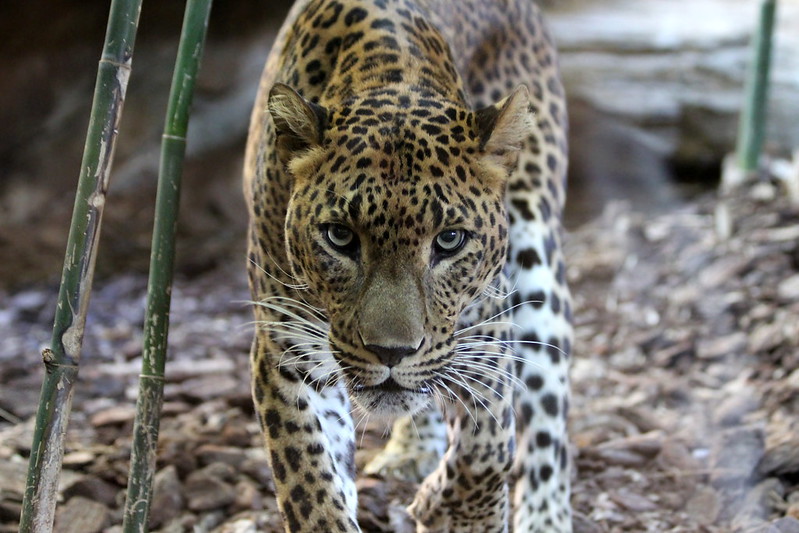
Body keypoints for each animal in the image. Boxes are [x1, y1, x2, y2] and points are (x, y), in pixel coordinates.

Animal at [241, 1, 572, 528]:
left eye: (450, 240)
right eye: (340, 236)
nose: (391, 353)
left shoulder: (486, 328)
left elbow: (489, 443)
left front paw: (458, 514)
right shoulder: (286, 348)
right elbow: (312, 487)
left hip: (536, 243)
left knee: (548, 404)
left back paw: (545, 517)